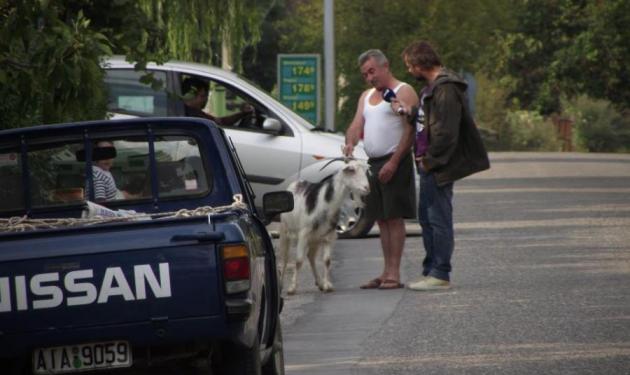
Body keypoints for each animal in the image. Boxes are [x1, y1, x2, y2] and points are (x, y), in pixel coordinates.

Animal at [278, 160, 370, 296]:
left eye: (365, 171)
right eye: (352, 170)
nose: (367, 188)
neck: (324, 203)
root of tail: (295, 184)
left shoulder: (328, 236)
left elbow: (327, 260)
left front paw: (327, 285)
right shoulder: (304, 234)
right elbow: (298, 261)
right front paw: (292, 288)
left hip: (315, 238)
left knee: (310, 256)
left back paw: (319, 283)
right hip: (285, 230)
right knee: (284, 258)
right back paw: (281, 284)